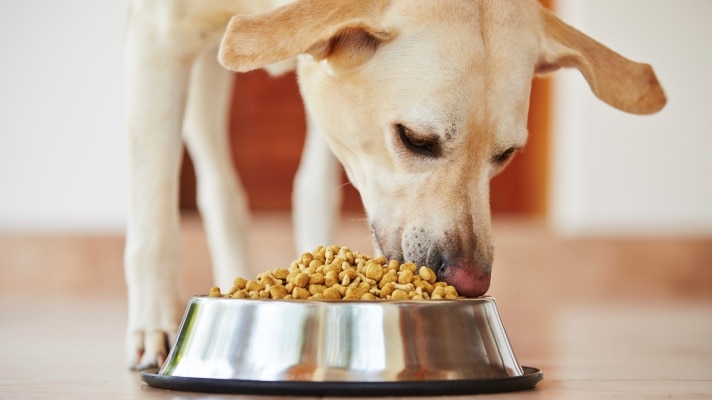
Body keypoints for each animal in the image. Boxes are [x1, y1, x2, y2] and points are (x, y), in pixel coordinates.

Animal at [125, 0, 664, 368]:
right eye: (415, 139)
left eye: (506, 155)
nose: (472, 282)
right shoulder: (161, 37)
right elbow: (153, 218)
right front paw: (156, 327)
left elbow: (314, 192)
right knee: (213, 181)